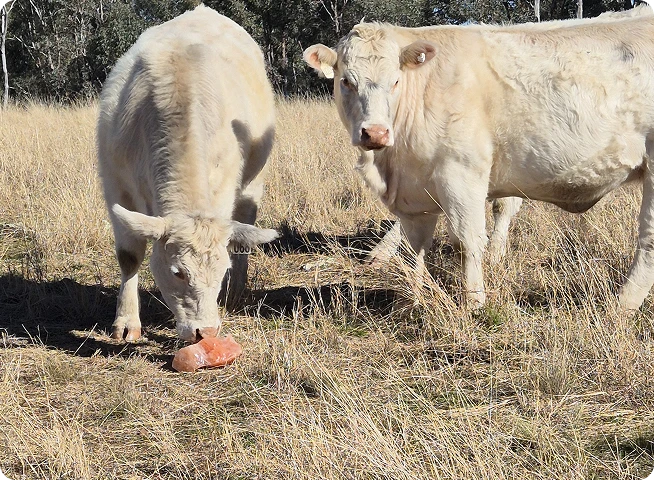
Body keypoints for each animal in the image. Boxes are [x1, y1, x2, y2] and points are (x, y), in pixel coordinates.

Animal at [97, 5, 277, 343]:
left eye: (221, 270)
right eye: (178, 272)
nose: (205, 332)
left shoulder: (223, 188)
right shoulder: (116, 184)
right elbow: (129, 256)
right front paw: (126, 320)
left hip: (253, 182)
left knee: (244, 231)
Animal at [304, 8, 654, 310]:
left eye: (395, 81)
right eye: (346, 81)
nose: (375, 133)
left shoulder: (462, 174)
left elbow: (468, 240)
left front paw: (474, 302)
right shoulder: (414, 192)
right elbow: (415, 247)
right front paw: (412, 298)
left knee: (648, 241)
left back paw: (622, 305)